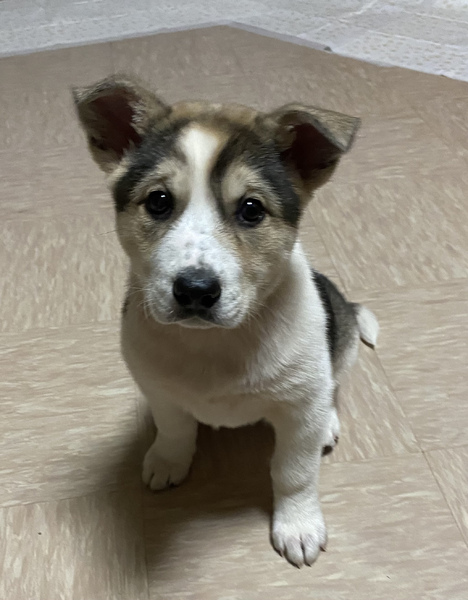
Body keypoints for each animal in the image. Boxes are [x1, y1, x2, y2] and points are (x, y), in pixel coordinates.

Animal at [73, 75, 379, 568]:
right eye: (159, 201)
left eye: (252, 209)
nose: (195, 290)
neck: (217, 344)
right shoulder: (158, 388)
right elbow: (175, 428)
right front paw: (168, 460)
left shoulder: (298, 409)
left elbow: (294, 471)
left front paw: (298, 524)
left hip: (340, 341)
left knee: (332, 386)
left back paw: (329, 423)